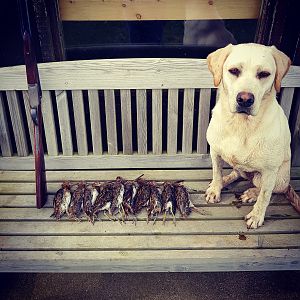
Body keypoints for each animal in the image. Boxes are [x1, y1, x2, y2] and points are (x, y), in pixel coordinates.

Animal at [206, 43, 290, 229]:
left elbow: (265, 195)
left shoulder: (270, 171)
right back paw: (226, 180)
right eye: (234, 71)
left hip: (276, 178)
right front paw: (216, 188)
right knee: (236, 173)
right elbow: (216, 172)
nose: (244, 99)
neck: (241, 125)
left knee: (269, 189)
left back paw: (251, 192)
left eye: (264, 74)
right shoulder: (215, 152)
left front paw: (256, 216)